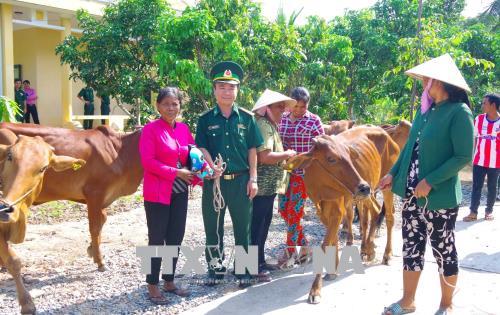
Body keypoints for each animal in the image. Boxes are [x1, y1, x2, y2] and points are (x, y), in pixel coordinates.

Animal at [0, 123, 144, 272]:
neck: (119, 151)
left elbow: (102, 220)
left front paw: (92, 249)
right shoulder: (94, 193)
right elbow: (95, 227)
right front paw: (100, 261)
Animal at [0, 132, 84, 314]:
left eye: (43, 168)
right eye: (10, 156)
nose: (5, 208)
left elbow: (13, 261)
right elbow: (13, 260)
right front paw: (26, 303)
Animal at [286, 126, 398, 304]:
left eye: (349, 156)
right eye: (331, 159)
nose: (363, 186)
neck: (320, 191)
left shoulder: (336, 212)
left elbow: (325, 245)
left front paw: (315, 289)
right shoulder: (323, 213)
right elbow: (334, 241)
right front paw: (333, 270)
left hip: (386, 185)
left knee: (389, 217)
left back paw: (386, 254)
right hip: (368, 194)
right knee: (374, 212)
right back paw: (368, 249)